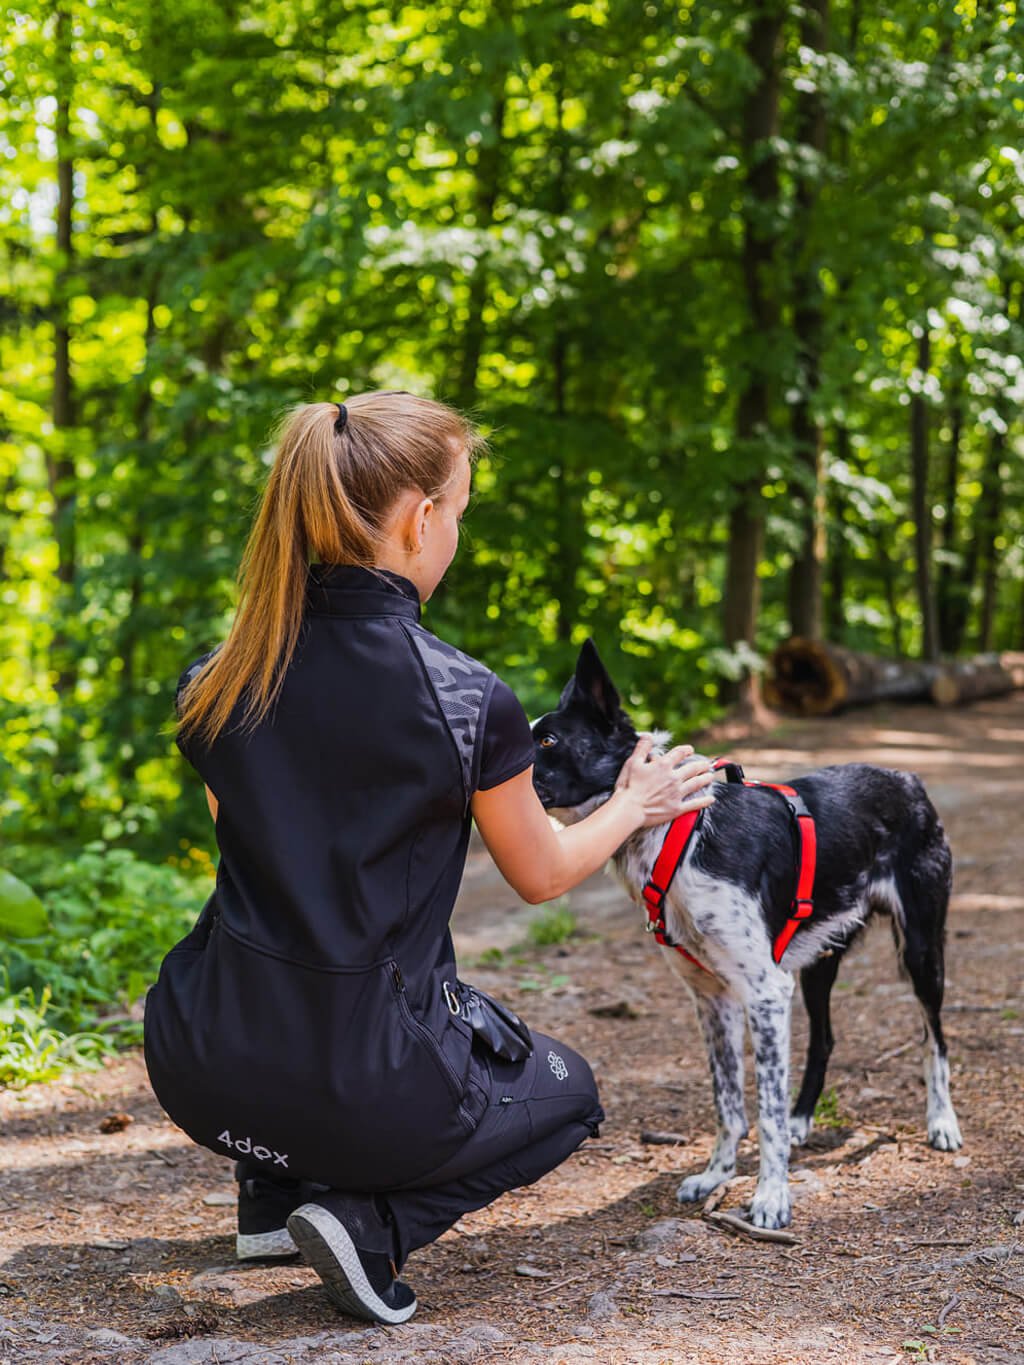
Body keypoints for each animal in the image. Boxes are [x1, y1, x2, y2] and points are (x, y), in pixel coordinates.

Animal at [532, 644, 966, 1233]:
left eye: (548, 741)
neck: (678, 833)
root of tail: (907, 778)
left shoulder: (764, 992)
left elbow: (766, 1113)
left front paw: (771, 1196)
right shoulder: (713, 999)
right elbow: (730, 1104)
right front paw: (717, 1175)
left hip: (921, 949)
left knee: (933, 1039)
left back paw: (941, 1121)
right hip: (819, 961)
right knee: (825, 1039)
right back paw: (804, 1118)